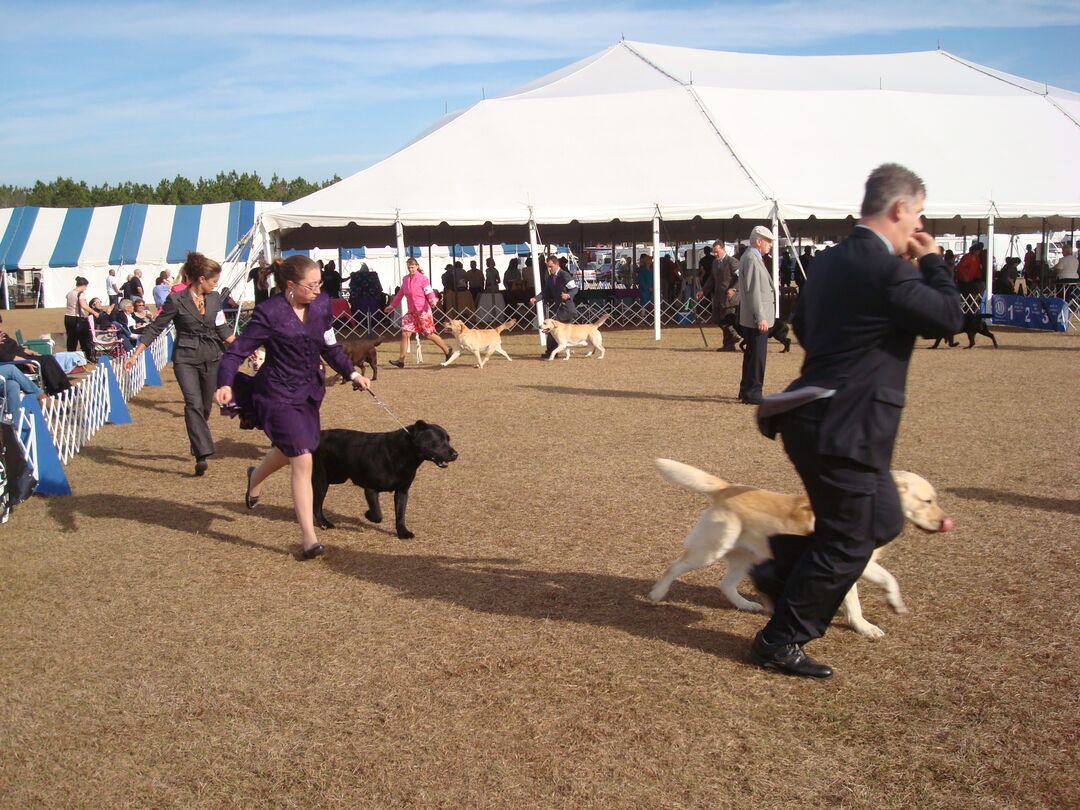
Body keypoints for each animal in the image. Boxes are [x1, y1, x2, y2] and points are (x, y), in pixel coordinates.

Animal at [315, 421, 460, 542]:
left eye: (448, 440)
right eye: (438, 440)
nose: (455, 454)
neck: (402, 454)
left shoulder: (402, 491)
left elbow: (400, 514)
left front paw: (403, 533)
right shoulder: (371, 489)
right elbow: (378, 514)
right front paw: (367, 514)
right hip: (321, 481)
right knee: (316, 506)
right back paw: (324, 524)